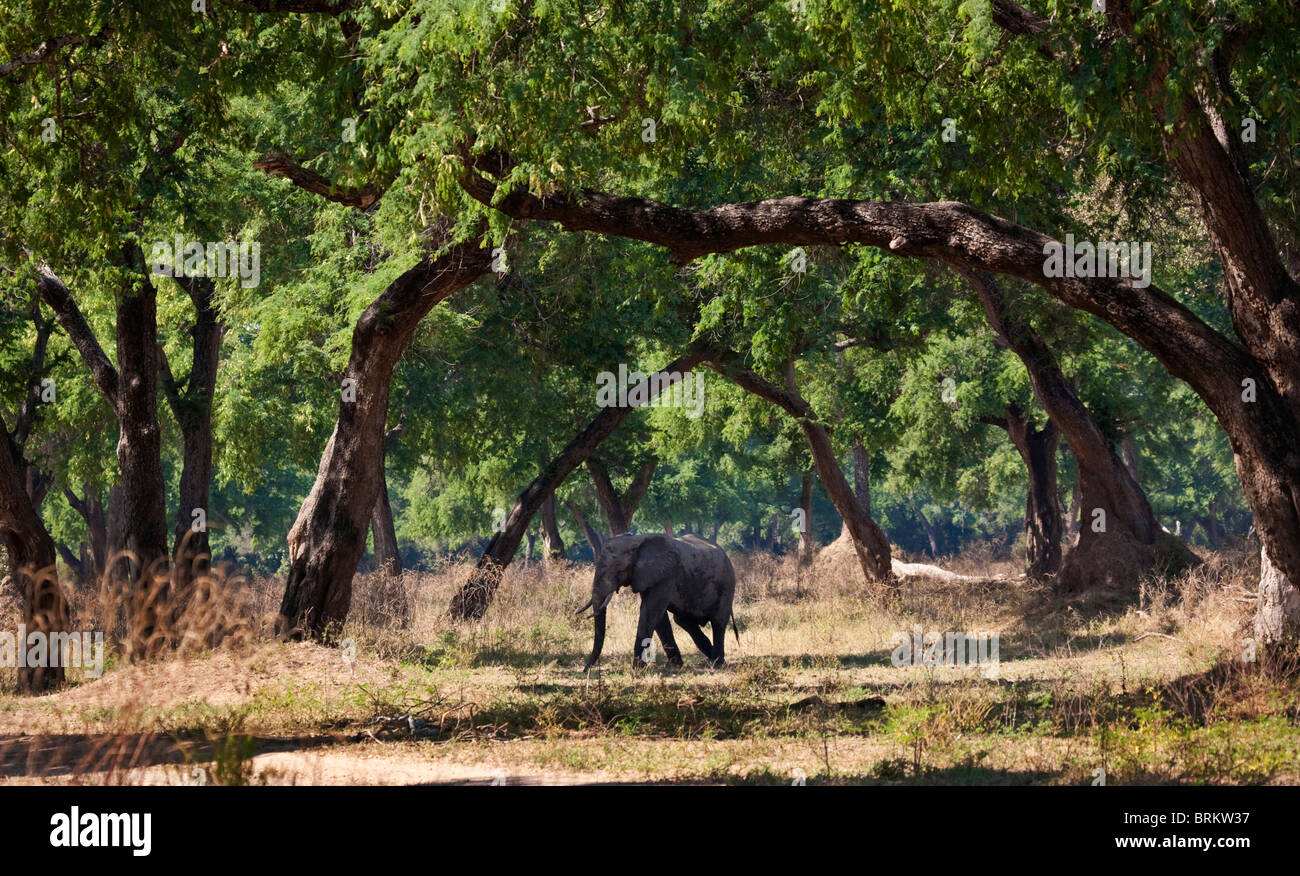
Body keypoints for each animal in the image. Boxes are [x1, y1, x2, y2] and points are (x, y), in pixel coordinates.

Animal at [576, 532, 738, 670]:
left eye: (620, 569)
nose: (585, 670)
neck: (636, 540)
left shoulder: (665, 574)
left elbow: (650, 612)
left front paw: (637, 668)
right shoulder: (646, 576)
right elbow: (658, 618)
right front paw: (674, 666)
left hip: (727, 585)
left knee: (718, 622)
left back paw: (717, 663)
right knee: (683, 621)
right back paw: (711, 658)